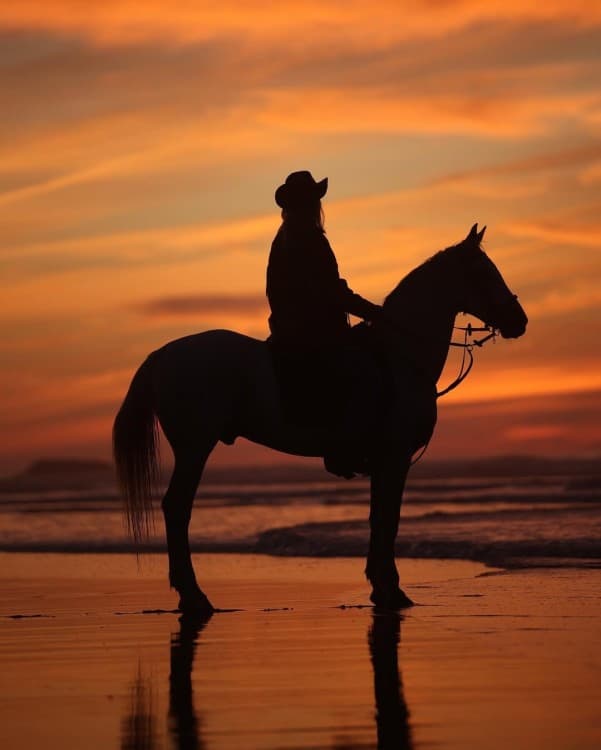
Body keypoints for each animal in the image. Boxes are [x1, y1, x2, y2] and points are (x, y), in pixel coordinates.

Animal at [113, 224, 528, 616]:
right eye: (485, 272)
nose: (519, 320)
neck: (401, 356)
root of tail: (162, 355)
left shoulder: (384, 462)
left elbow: (379, 519)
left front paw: (381, 587)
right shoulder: (394, 458)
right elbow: (388, 519)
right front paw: (391, 591)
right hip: (195, 447)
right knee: (177, 508)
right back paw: (194, 596)